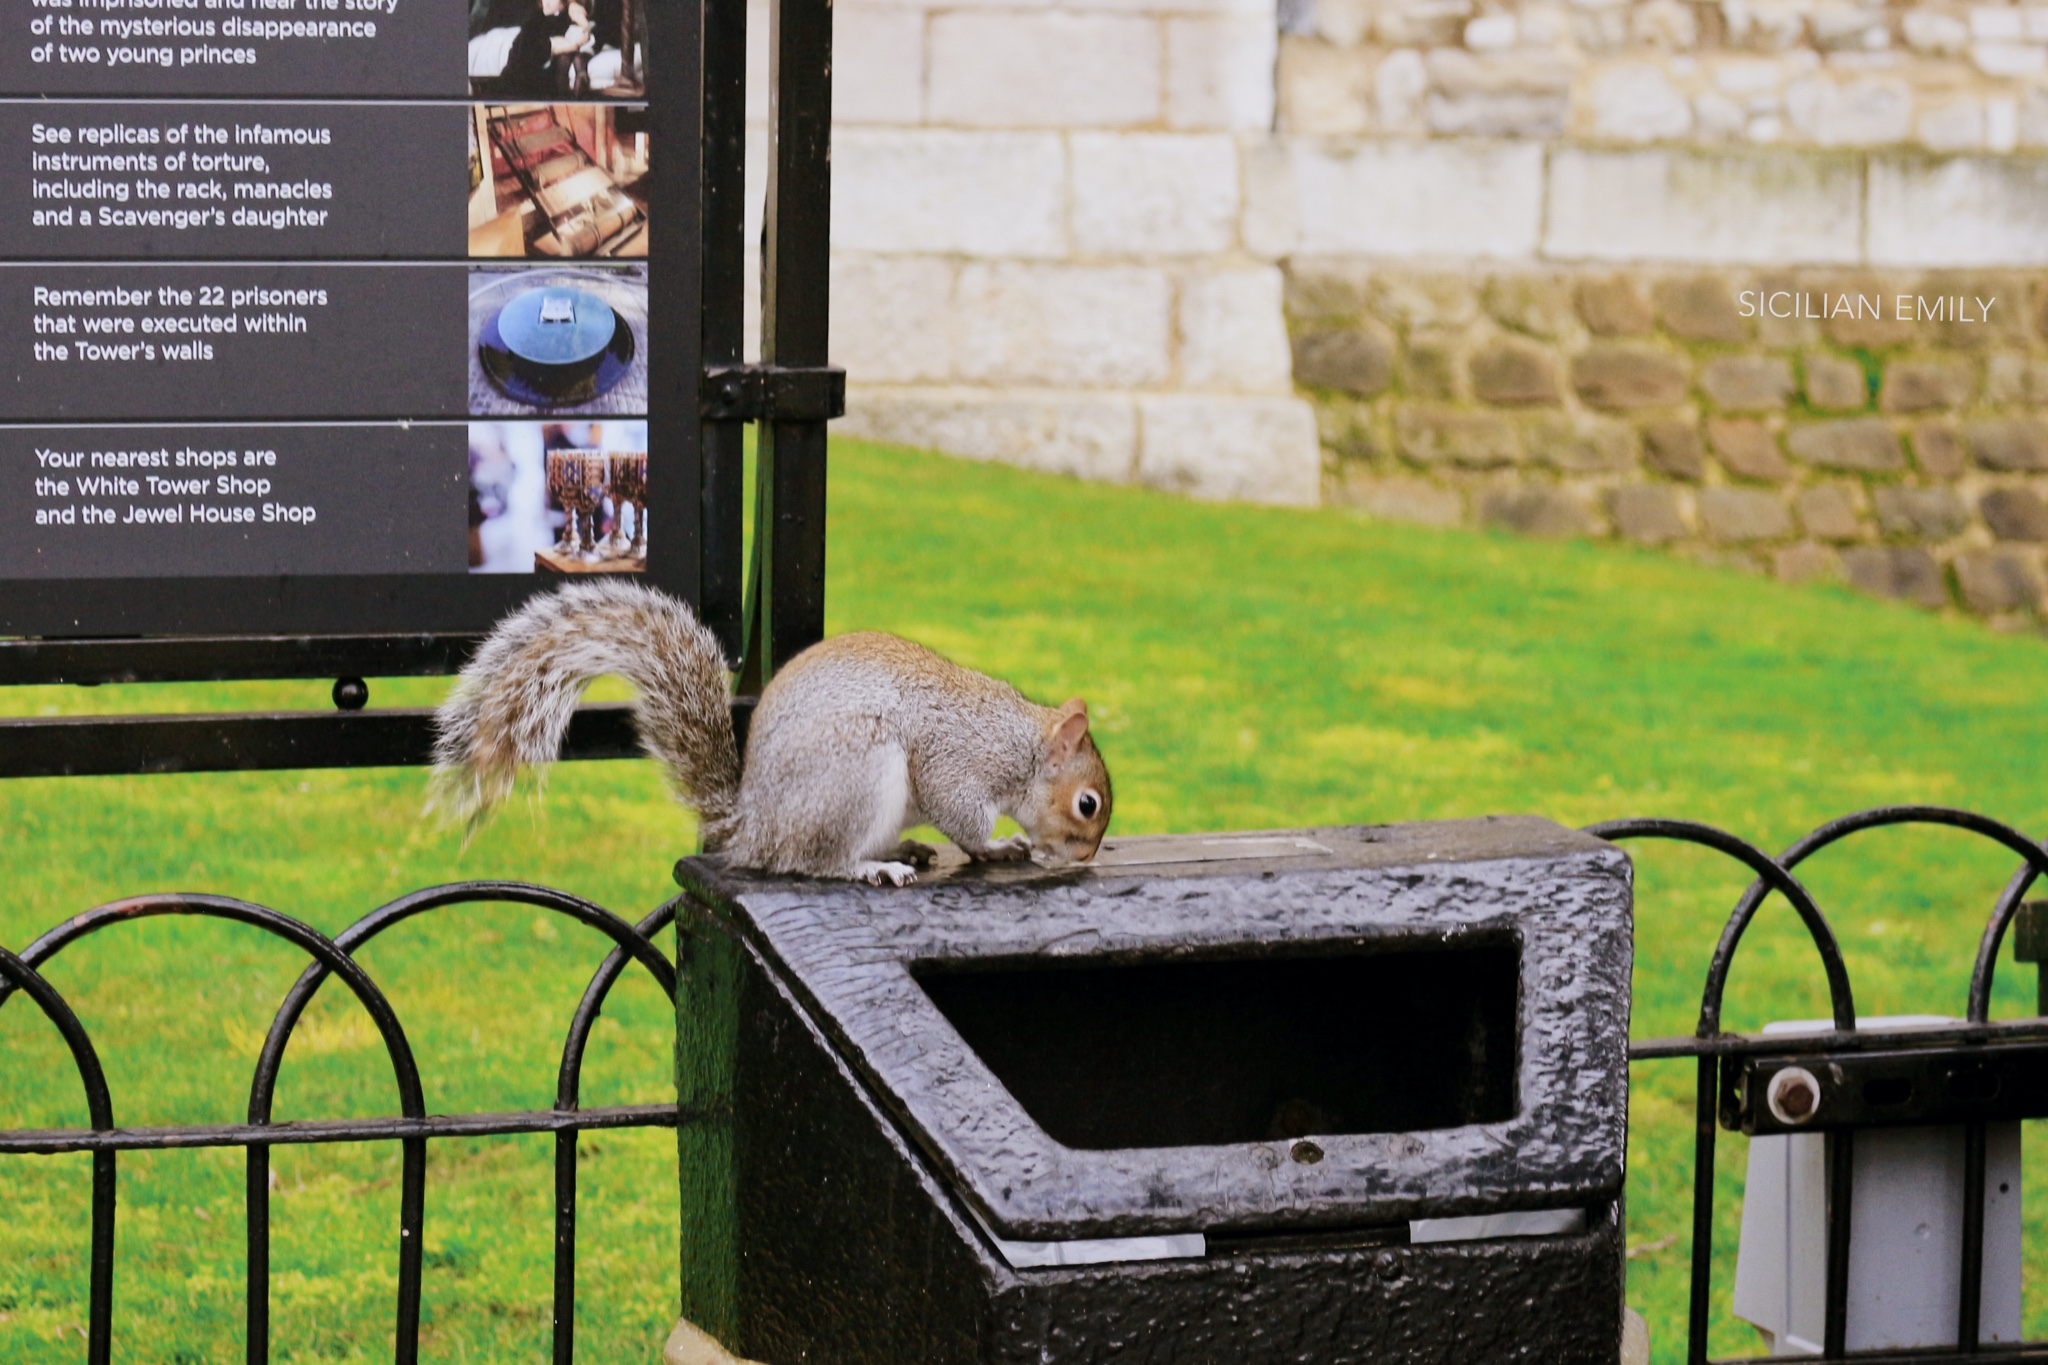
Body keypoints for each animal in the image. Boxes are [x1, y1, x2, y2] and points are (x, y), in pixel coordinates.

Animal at [423, 581, 1114, 888]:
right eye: (1087, 804)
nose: (1082, 860)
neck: (1021, 745)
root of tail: (754, 826)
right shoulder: (961, 759)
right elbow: (962, 816)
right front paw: (997, 846)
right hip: (857, 776)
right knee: (813, 861)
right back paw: (872, 866)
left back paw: (905, 849)